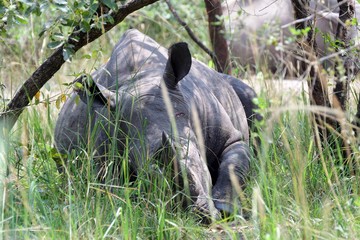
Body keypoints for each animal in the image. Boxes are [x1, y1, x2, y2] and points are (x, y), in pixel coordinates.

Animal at [54, 29, 258, 218]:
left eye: (200, 157)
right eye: (145, 172)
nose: (195, 214)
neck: (142, 81)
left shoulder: (229, 137)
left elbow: (233, 164)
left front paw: (226, 209)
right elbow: (112, 191)